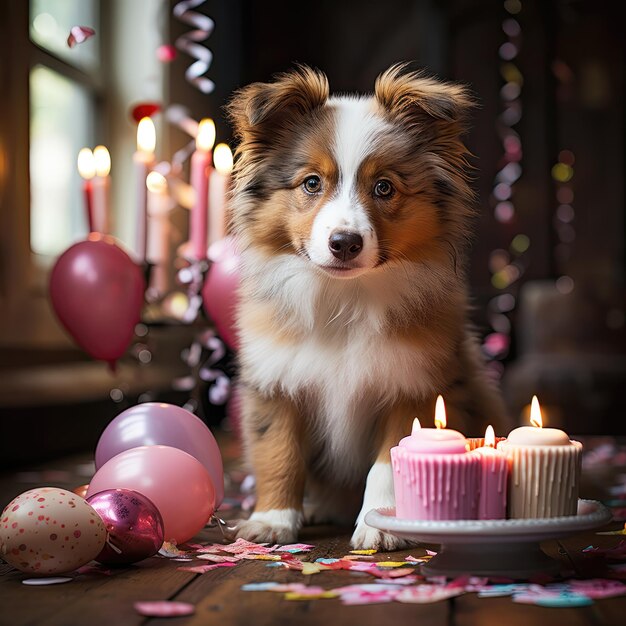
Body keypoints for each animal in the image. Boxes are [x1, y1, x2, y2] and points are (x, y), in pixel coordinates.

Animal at [227, 61, 510, 544]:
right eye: (311, 183)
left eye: (383, 187)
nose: (344, 243)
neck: (344, 298)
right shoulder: (274, 383)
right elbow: (277, 452)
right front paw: (273, 520)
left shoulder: (414, 386)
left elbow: (389, 464)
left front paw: (381, 527)